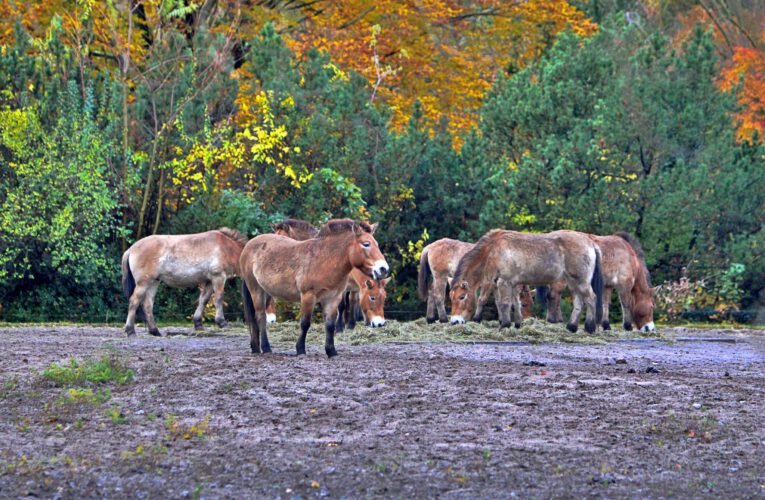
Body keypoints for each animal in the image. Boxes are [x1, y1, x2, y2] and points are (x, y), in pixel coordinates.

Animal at [240, 219, 388, 356]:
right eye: (366, 244)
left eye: (377, 244)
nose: (383, 269)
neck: (324, 259)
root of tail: (249, 244)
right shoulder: (308, 296)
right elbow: (305, 323)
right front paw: (300, 349)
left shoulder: (333, 298)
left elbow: (330, 325)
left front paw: (331, 351)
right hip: (256, 290)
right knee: (260, 316)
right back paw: (266, 348)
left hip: (266, 292)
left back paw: (255, 347)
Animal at [448, 230, 604, 332]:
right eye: (451, 297)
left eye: (462, 297)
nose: (454, 321)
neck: (493, 249)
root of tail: (590, 242)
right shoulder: (511, 284)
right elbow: (515, 303)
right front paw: (517, 323)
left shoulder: (503, 282)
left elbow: (504, 304)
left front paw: (504, 325)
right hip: (573, 283)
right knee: (579, 302)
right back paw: (571, 327)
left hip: (581, 282)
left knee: (591, 299)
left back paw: (589, 327)